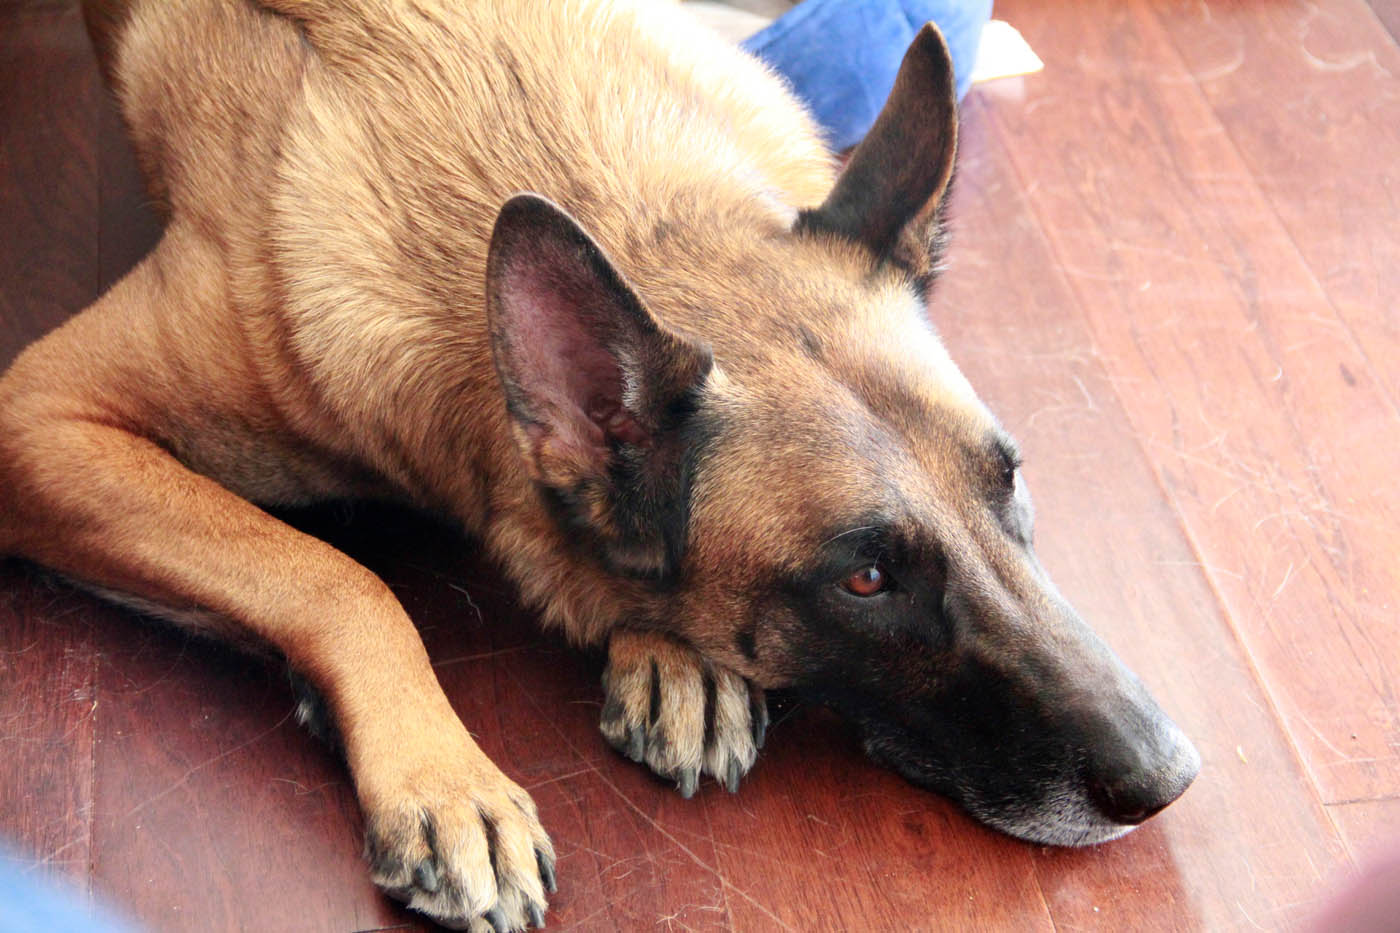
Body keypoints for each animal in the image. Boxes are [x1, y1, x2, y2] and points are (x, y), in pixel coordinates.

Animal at [2, 1, 1204, 924]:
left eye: (1009, 483)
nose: (1169, 777)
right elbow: (337, 577)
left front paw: (673, 655)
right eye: (865, 579)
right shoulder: (41, 419)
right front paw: (443, 777)